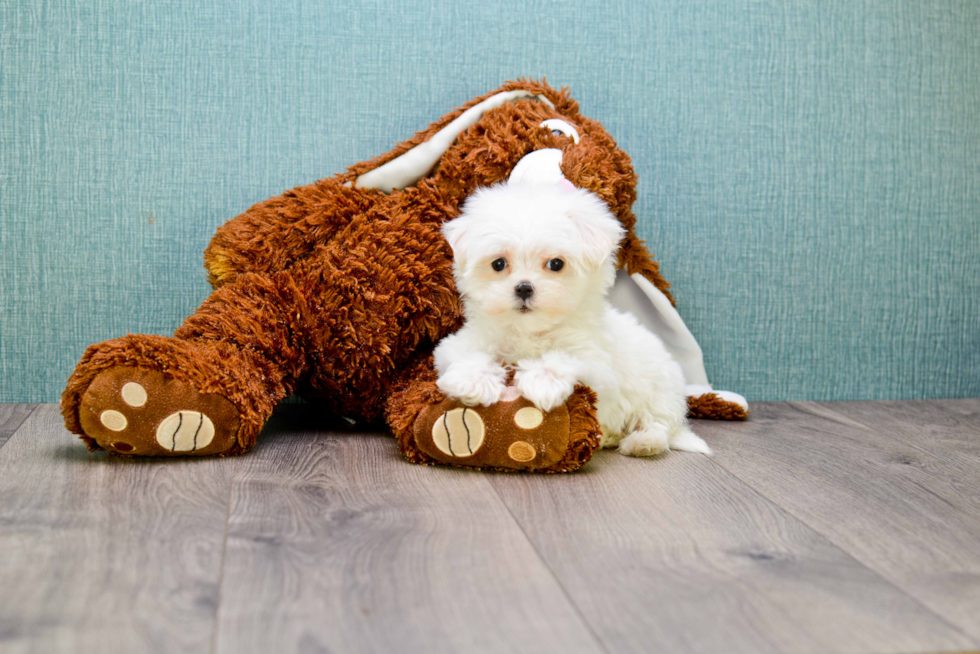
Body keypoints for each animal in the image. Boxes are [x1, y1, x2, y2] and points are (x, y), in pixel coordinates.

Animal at [432, 182, 708, 458]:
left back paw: (643, 442)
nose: (524, 288)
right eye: (498, 263)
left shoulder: (596, 365)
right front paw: (471, 382)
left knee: (658, 424)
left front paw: (541, 383)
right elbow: (469, 354)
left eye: (556, 264)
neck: (529, 331)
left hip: (660, 392)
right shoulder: (461, 342)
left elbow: (565, 358)